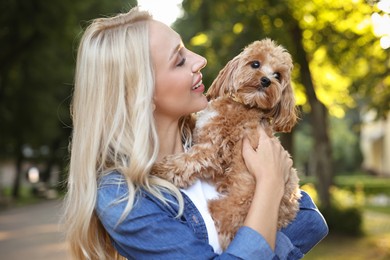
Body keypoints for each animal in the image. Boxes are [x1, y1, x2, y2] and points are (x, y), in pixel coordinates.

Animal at [152, 38, 302, 250]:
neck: (244, 104)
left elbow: (186, 161)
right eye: (255, 64)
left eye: (277, 76)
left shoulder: (213, 149)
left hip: (225, 211)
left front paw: (157, 168)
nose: (266, 80)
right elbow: (193, 123)